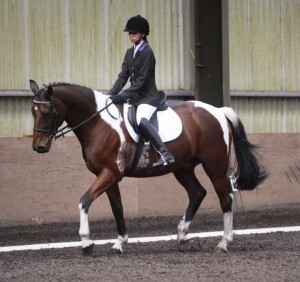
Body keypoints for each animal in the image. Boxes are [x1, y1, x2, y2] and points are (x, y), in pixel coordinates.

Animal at [28, 79, 268, 256]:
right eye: (33, 111)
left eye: (46, 112)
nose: (38, 147)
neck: (98, 123)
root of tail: (218, 111)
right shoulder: (108, 175)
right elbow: (117, 208)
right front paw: (119, 243)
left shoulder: (110, 173)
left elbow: (84, 201)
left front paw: (87, 243)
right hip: (183, 168)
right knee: (197, 193)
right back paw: (182, 236)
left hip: (215, 165)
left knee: (225, 198)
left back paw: (223, 243)